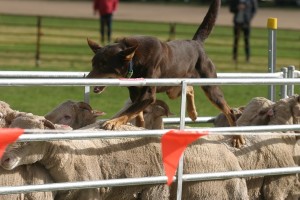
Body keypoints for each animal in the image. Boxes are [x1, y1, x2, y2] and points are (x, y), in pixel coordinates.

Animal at [86, 0, 244, 147]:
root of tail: (196, 43)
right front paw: (139, 125)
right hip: (172, 89)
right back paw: (192, 112)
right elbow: (136, 112)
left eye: (103, 65)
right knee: (189, 88)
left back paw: (237, 137)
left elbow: (130, 111)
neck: (134, 61)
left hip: (210, 88)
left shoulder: (148, 95)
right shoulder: (135, 93)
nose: (87, 78)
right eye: (93, 63)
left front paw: (112, 122)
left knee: (229, 111)